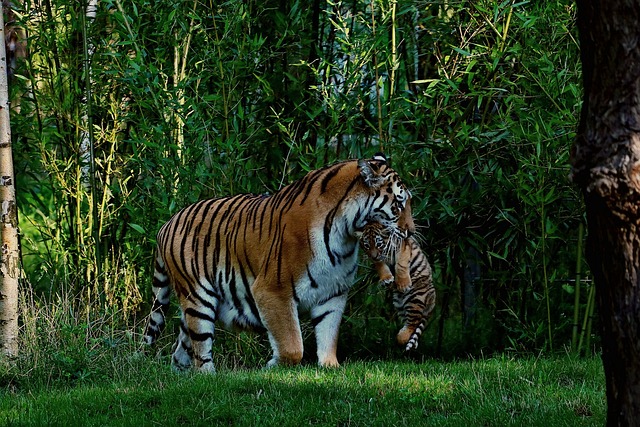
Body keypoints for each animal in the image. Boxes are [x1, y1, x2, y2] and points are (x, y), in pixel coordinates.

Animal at [142, 154, 414, 372]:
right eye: (399, 203)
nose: (411, 231)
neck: (345, 234)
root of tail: (166, 224)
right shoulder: (273, 291)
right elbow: (292, 345)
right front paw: (272, 366)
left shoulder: (333, 293)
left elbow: (328, 334)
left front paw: (330, 367)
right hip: (198, 298)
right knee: (201, 348)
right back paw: (209, 376)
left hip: (195, 307)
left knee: (180, 350)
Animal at [359, 220, 436, 351]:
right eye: (367, 245)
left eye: (379, 244)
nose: (373, 256)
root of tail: (432, 301)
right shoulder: (378, 259)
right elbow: (380, 265)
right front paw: (386, 279)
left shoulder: (403, 248)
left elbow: (400, 265)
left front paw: (403, 284)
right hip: (400, 304)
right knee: (412, 322)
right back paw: (410, 341)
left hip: (416, 297)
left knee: (413, 322)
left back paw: (401, 338)